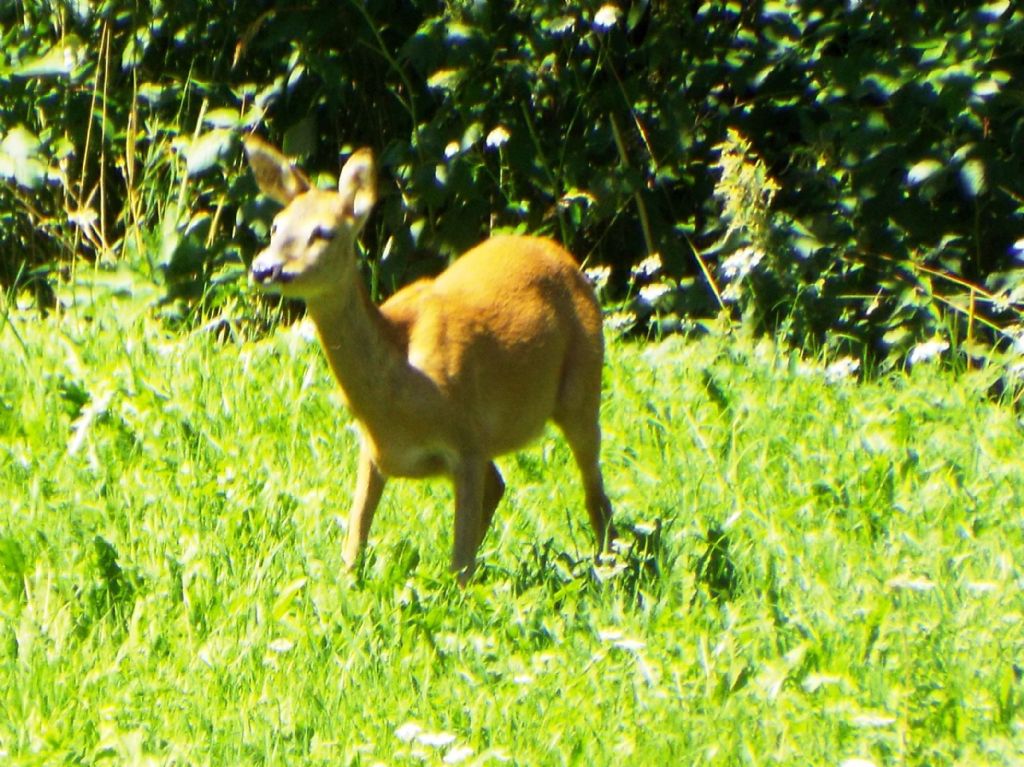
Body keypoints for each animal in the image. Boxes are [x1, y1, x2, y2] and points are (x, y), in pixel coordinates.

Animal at [245, 136, 614, 581]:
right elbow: (354, 539)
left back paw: (609, 564)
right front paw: (344, 584)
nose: (264, 268)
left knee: (594, 488)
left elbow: (461, 561)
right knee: (501, 485)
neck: (399, 389)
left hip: (583, 381)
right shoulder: (374, 448)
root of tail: (562, 255)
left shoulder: (467, 438)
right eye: (276, 226)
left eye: (324, 232)